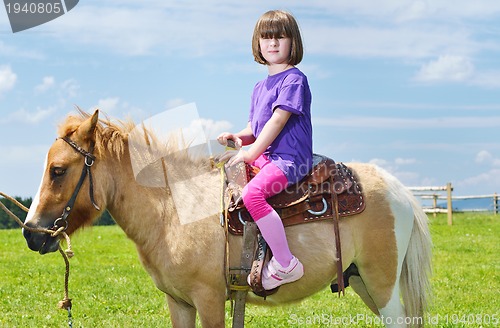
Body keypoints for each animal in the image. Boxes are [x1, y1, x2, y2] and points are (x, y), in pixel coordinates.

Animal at [22, 111, 430, 328]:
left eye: (58, 170)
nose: (30, 233)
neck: (173, 210)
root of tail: (399, 189)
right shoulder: (180, 303)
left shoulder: (210, 299)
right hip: (362, 281)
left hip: (382, 284)